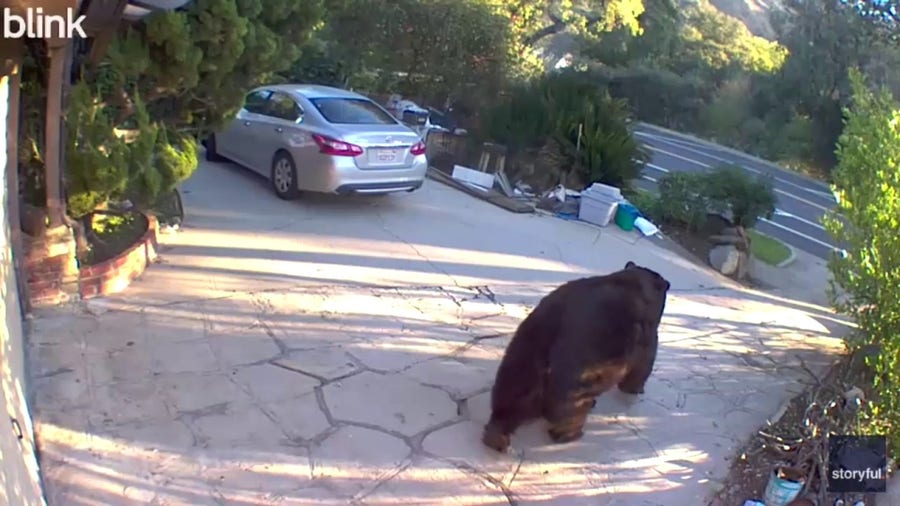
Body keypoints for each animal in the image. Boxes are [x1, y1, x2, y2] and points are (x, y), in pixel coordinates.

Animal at [481, 261, 670, 453]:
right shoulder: (646, 335)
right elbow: (641, 368)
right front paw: (635, 390)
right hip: (573, 385)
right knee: (570, 414)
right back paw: (572, 434)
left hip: (519, 361)